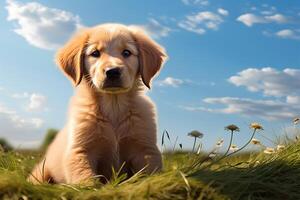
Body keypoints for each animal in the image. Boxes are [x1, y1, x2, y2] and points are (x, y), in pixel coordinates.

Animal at [27, 23, 166, 184]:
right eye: (95, 53)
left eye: (126, 52)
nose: (112, 71)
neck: (114, 106)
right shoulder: (80, 151)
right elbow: (86, 179)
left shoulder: (145, 148)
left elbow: (150, 174)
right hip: (40, 172)